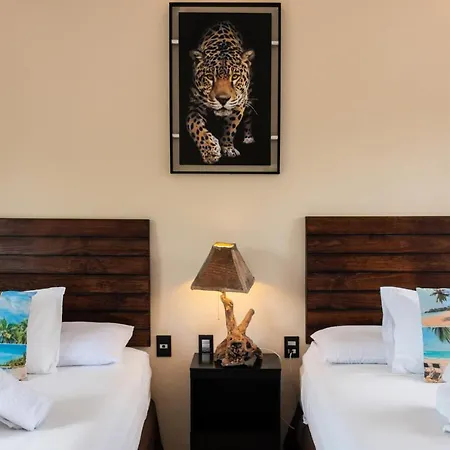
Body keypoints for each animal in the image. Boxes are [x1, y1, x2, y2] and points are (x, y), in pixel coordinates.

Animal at [186, 21, 255, 165]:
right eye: (209, 77)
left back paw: (248, 138)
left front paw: (228, 148)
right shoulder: (195, 104)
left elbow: (230, 126)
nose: (223, 99)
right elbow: (195, 126)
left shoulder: (239, 102)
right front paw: (210, 152)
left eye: (235, 76)